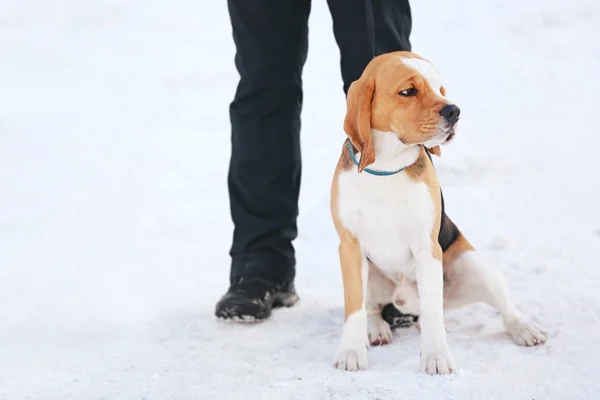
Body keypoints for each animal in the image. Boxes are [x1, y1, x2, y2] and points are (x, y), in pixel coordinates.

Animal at [330, 50, 548, 376]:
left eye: (440, 89)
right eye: (408, 91)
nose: (454, 111)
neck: (387, 167)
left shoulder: (427, 248)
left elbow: (433, 310)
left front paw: (436, 356)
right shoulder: (350, 248)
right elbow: (354, 307)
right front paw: (351, 352)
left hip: (475, 265)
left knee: (503, 307)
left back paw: (524, 328)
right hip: (370, 272)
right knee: (372, 308)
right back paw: (377, 328)